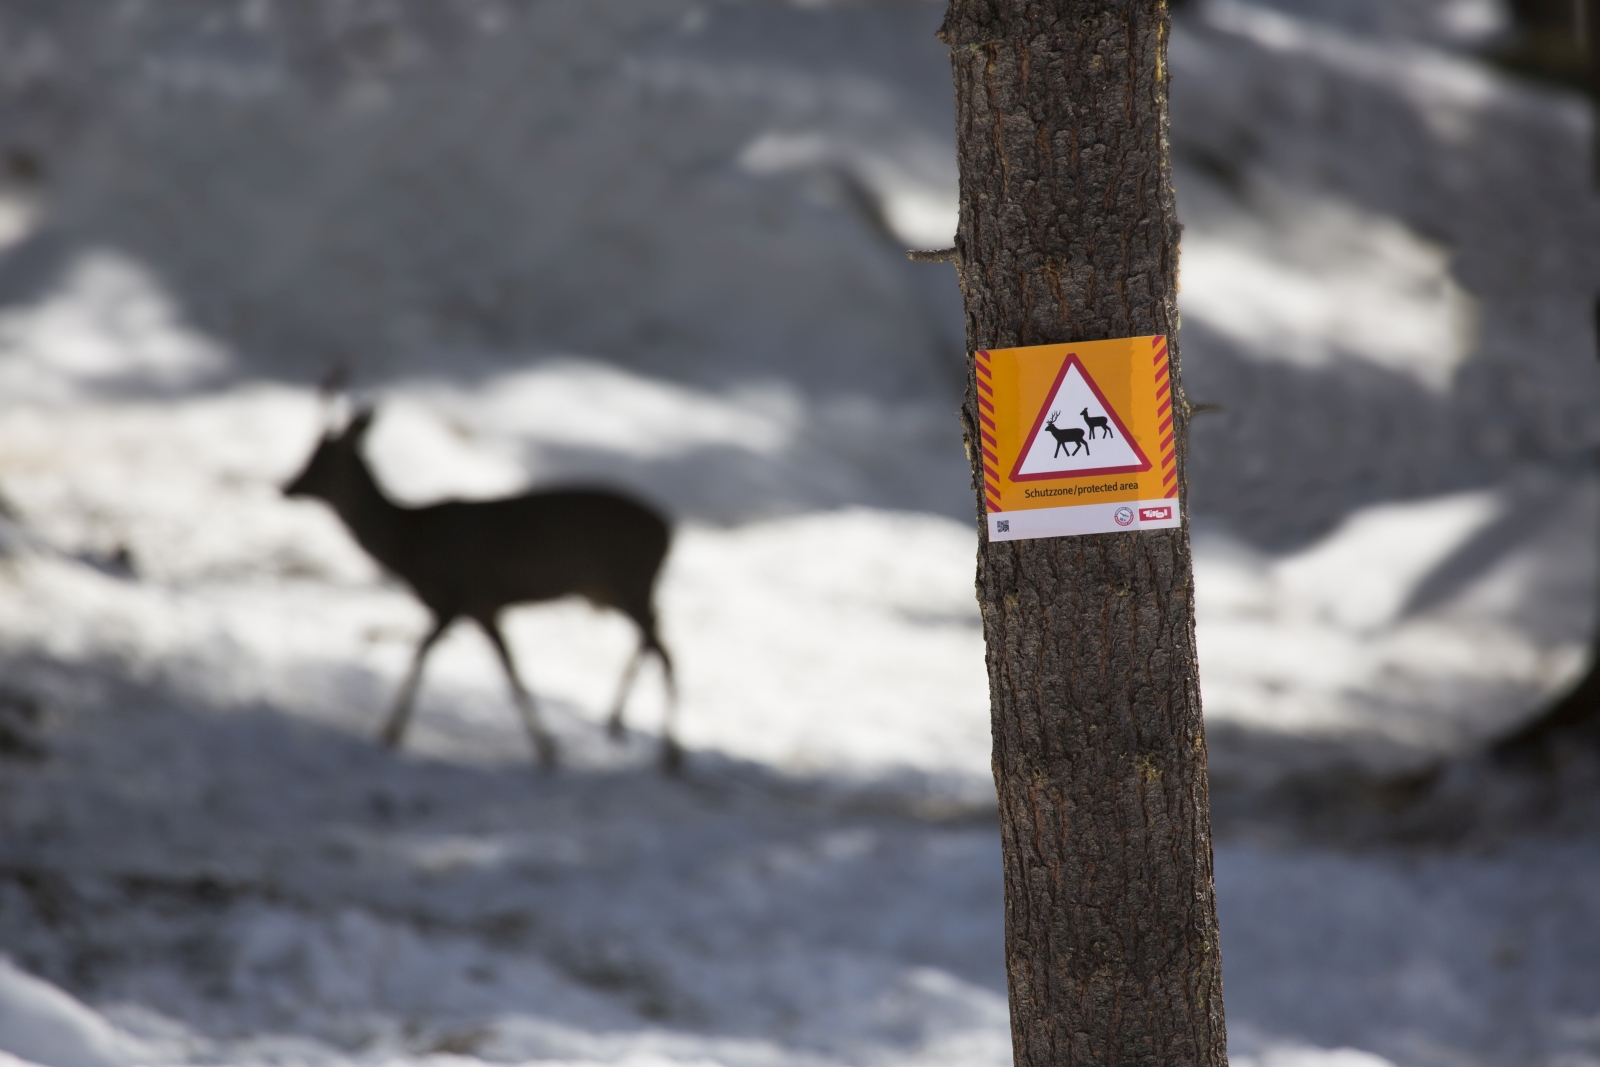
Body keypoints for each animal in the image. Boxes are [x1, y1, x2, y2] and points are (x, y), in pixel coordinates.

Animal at [284, 404, 678, 771]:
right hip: (611, 589)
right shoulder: (484, 607)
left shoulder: (457, 596)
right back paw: (618, 723)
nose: (286, 485)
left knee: (665, 650)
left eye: (322, 460)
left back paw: (666, 752)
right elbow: (510, 669)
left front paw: (390, 732)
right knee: (655, 639)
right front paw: (547, 748)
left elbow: (423, 652)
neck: (408, 543)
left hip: (630, 581)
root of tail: (669, 528)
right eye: (309, 453)